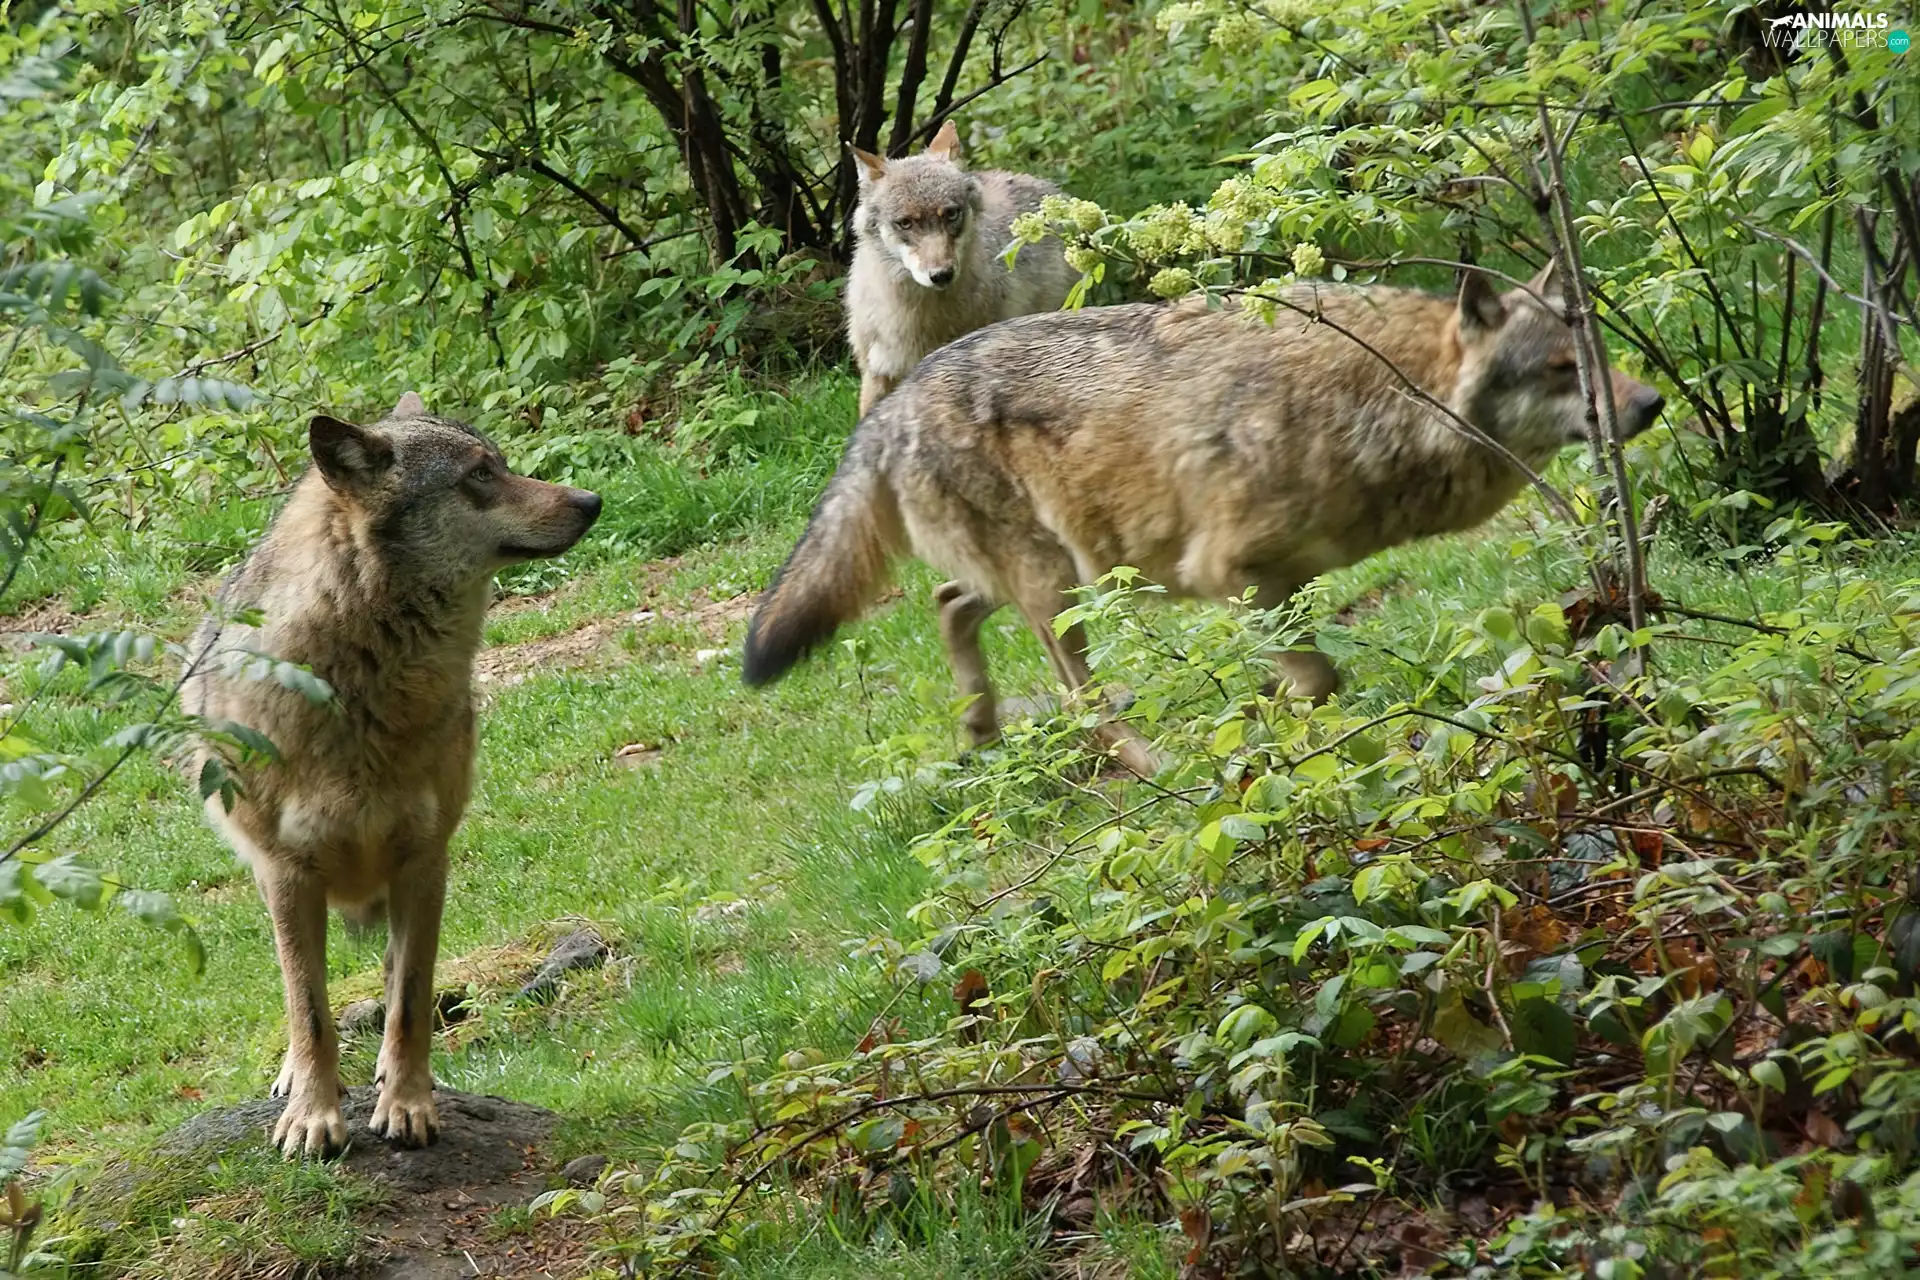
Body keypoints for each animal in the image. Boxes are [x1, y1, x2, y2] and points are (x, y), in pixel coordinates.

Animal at [183, 393, 601, 1158]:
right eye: (480, 474)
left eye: (501, 463)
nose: (592, 500)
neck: (364, 682)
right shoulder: (289, 874)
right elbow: (309, 1010)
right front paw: (313, 1117)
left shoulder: (425, 861)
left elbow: (407, 1001)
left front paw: (408, 1106)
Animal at [744, 264, 1664, 775]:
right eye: (1559, 369)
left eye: (1598, 354)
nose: (1654, 403)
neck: (1380, 399)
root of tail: (888, 407)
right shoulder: (1234, 575)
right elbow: (1321, 682)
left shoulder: (1286, 583)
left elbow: (1296, 678)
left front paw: (1264, 716)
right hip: (1060, 592)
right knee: (1080, 698)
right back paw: (1151, 764)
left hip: (1058, 577)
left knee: (949, 605)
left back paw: (981, 731)